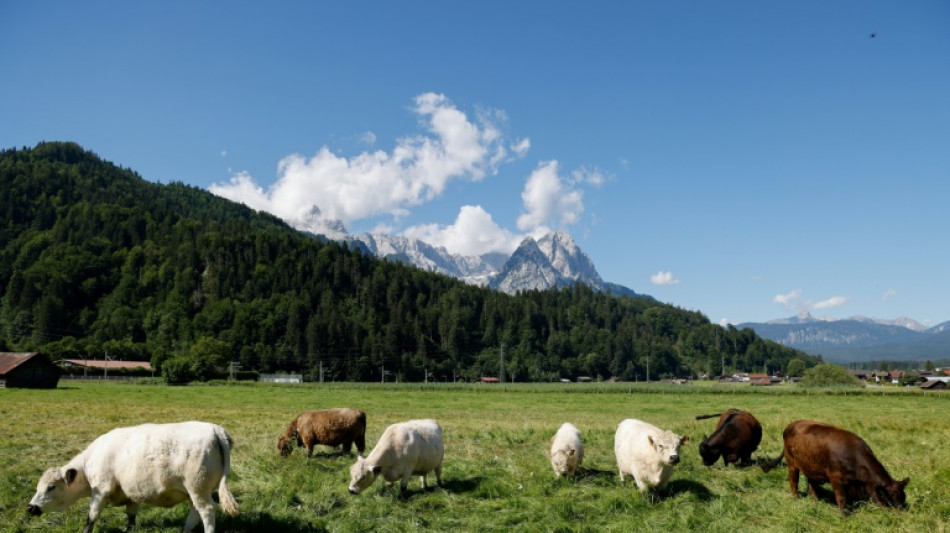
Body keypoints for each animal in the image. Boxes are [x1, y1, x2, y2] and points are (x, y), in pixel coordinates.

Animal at [29, 420, 240, 532]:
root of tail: (215, 429)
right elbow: (131, 516)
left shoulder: (100, 492)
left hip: (198, 488)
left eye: (51, 487)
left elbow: (91, 516)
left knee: (207, 511)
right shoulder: (132, 494)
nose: (31, 507)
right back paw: (185, 530)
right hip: (196, 491)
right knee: (195, 511)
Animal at [764, 418, 912, 512]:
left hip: (811, 465)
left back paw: (816, 500)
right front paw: (843, 515)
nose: (899, 515)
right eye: (890, 498)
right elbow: (841, 498)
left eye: (903, 498)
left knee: (812, 483)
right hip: (792, 464)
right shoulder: (835, 478)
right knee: (793, 482)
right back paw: (795, 498)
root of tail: (791, 425)